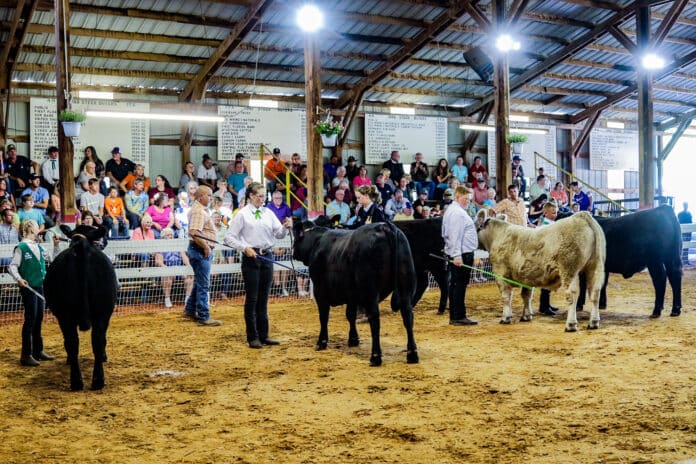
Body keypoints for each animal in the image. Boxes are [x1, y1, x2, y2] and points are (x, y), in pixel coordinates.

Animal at [476, 212, 608, 332]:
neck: (498, 235)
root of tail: (580, 216)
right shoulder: (527, 276)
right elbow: (526, 296)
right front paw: (526, 315)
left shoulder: (500, 273)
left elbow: (506, 297)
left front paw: (506, 317)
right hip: (596, 267)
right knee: (595, 293)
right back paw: (593, 322)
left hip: (569, 269)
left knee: (572, 294)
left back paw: (570, 324)